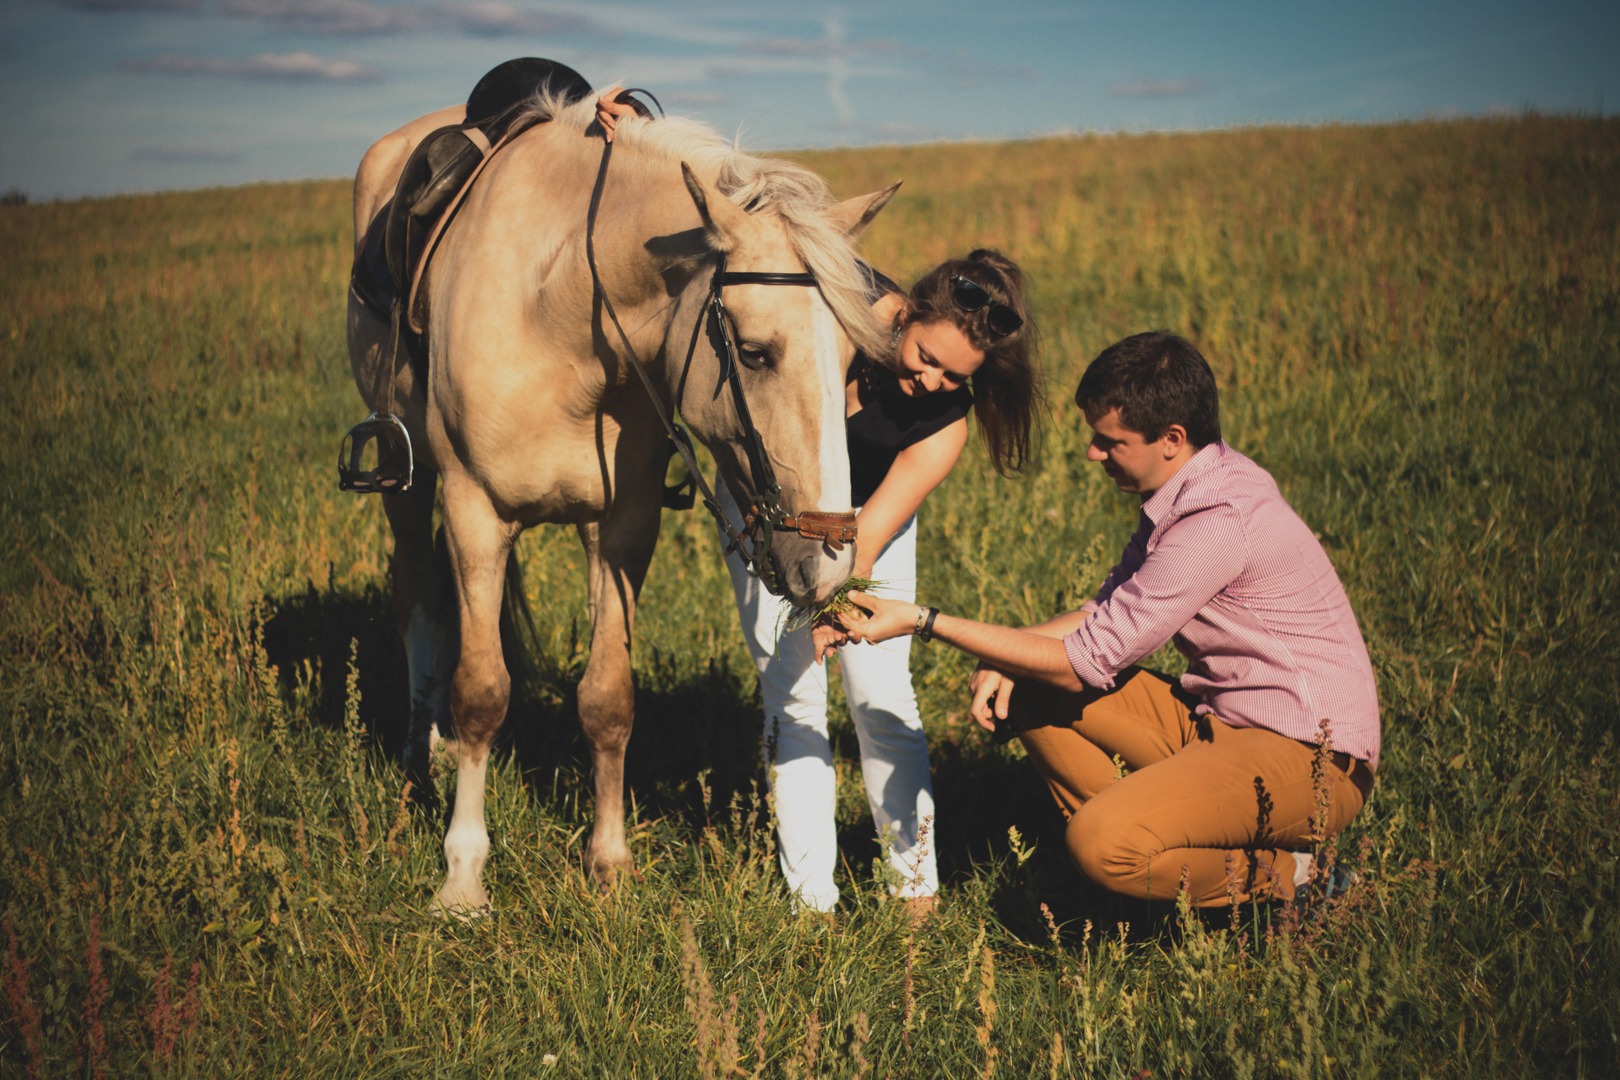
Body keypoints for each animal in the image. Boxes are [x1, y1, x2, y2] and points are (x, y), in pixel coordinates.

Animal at [345, 86, 900, 913]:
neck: (558, 315)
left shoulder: (622, 527)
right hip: (407, 489)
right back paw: (422, 749)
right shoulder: (476, 514)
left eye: (854, 361)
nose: (830, 562)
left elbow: (608, 699)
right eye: (755, 352)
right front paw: (462, 878)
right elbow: (481, 693)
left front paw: (608, 863)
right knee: (418, 599)